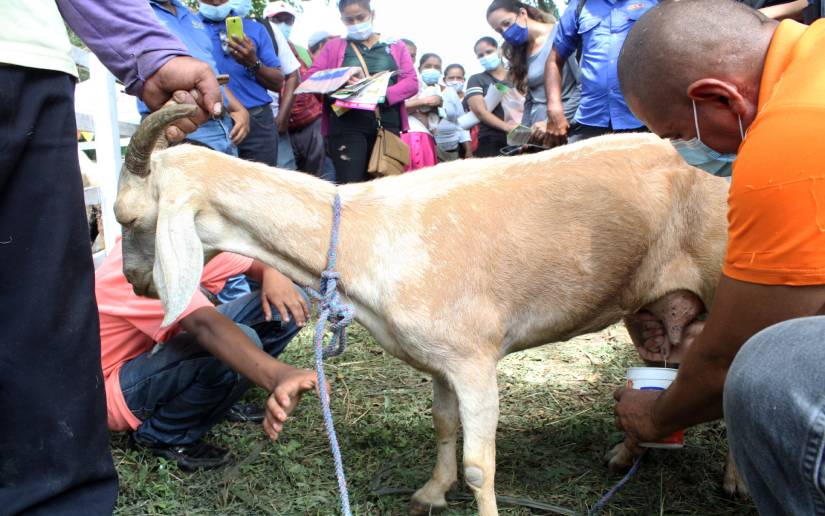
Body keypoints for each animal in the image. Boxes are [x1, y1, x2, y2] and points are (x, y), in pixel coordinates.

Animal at [116, 105, 737, 515]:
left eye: (128, 216)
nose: (133, 282)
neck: (363, 235)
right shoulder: (440, 360)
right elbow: (443, 425)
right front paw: (431, 493)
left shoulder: (475, 360)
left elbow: (480, 464)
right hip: (647, 300)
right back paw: (624, 452)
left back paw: (734, 482)